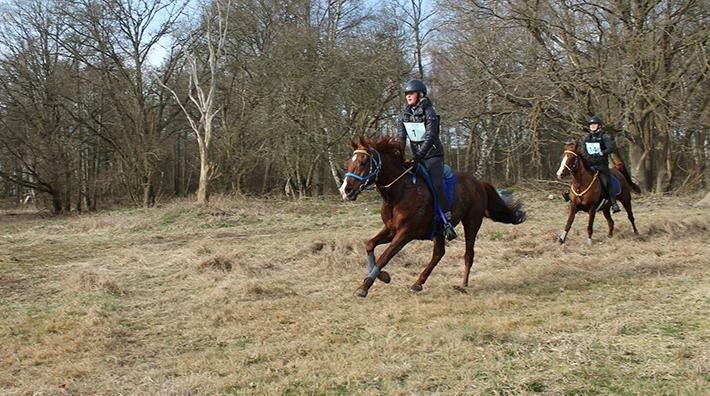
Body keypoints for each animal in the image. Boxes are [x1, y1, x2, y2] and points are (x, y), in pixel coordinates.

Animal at [340, 136, 528, 296]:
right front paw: (382, 277)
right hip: (439, 230)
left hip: (472, 222)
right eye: (348, 162)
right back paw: (418, 283)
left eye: (363, 162)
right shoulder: (391, 229)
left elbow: (385, 256)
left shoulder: (405, 233)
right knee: (439, 253)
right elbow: (370, 245)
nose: (345, 190)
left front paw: (364, 287)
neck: (399, 194)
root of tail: (479, 183)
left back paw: (463, 285)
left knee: (468, 254)